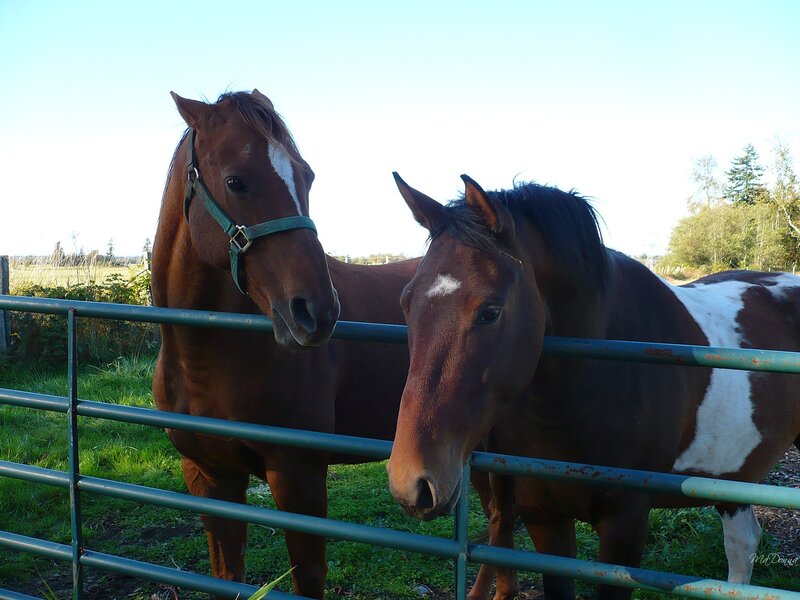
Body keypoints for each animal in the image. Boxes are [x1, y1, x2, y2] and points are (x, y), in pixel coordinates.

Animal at [151, 90, 422, 598]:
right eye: (235, 181)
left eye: (307, 176)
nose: (317, 312)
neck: (203, 360)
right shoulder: (210, 476)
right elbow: (227, 573)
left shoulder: (299, 476)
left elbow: (308, 576)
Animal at [386, 173, 800, 600]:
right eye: (406, 303)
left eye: (490, 312)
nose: (410, 482)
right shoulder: (544, 519)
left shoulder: (625, 527)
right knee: (742, 544)